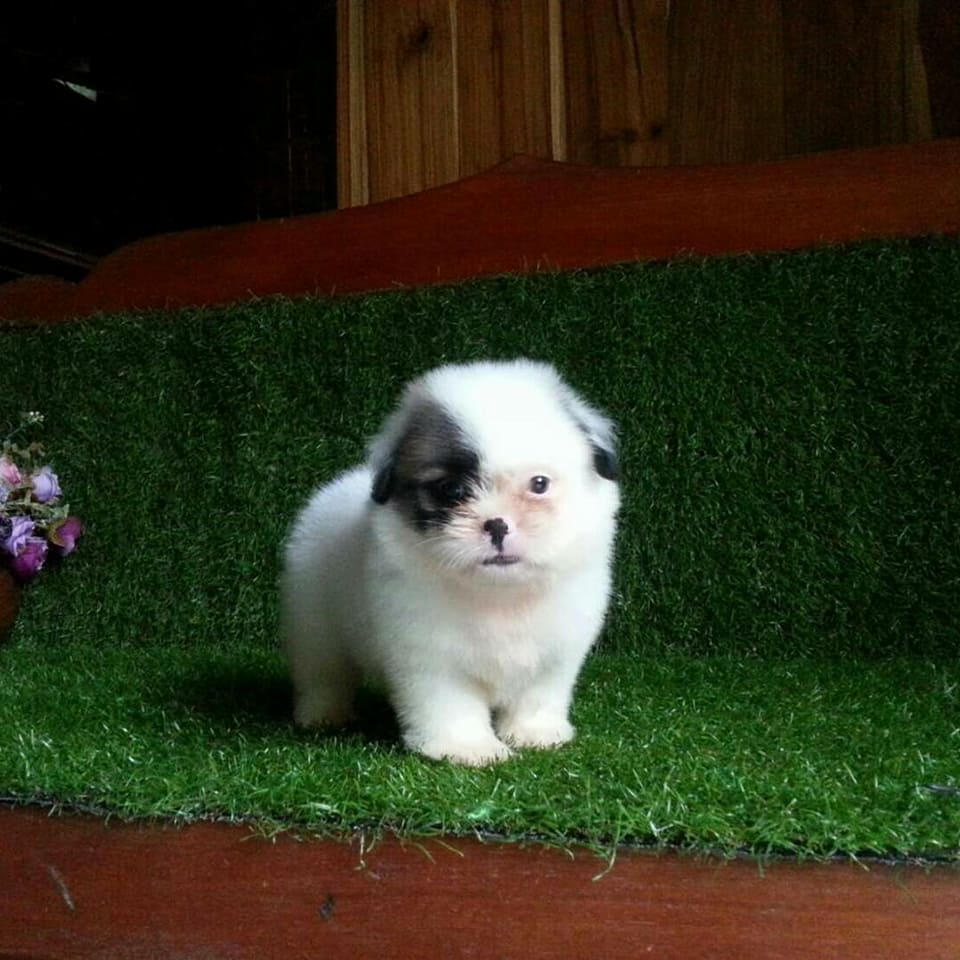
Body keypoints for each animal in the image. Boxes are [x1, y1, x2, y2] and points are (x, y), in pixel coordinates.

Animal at [280, 359, 620, 766]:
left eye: (539, 484)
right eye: (452, 491)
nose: (497, 524)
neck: (499, 597)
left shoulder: (556, 652)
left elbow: (537, 695)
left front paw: (534, 734)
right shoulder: (430, 656)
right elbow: (450, 704)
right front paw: (468, 748)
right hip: (314, 622)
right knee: (323, 672)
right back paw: (324, 715)